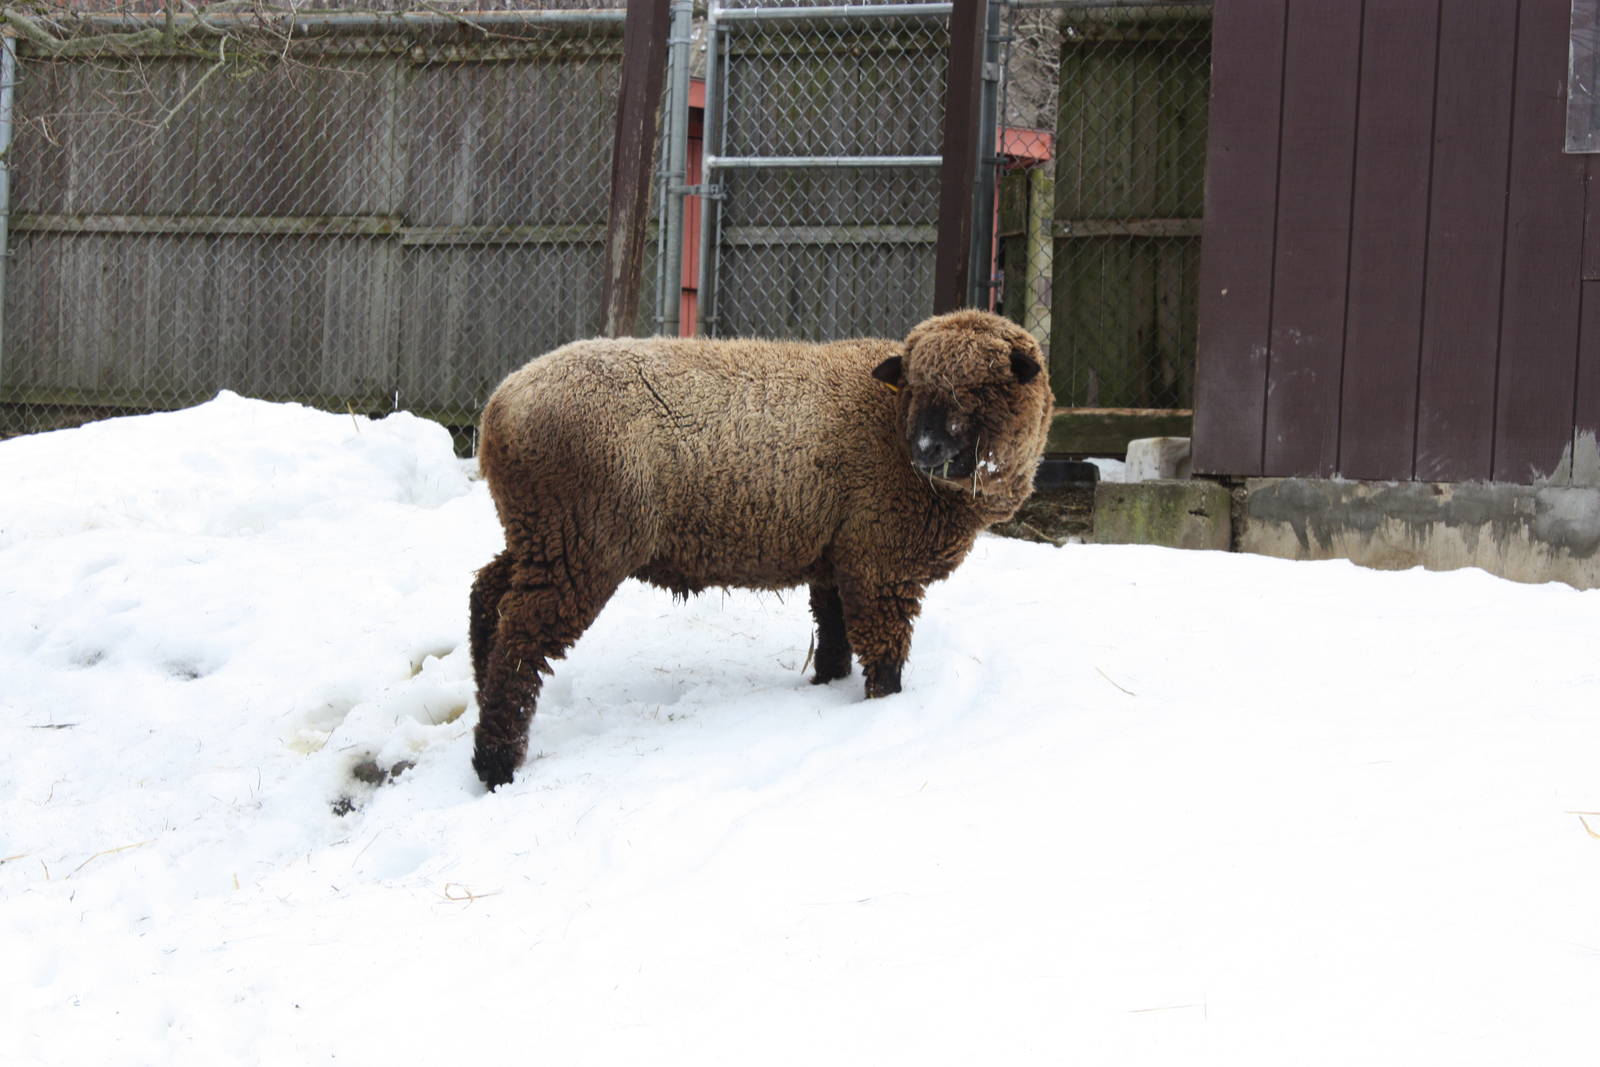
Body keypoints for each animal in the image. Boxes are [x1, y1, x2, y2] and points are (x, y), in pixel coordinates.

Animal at [468, 309, 1054, 788]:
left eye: (981, 388)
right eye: (913, 385)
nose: (926, 450)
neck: (891, 427)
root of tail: (500, 407)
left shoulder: (838, 556)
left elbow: (834, 632)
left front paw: (826, 687)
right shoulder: (879, 561)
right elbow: (884, 654)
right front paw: (883, 712)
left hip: (540, 531)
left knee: (488, 595)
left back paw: (479, 688)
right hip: (584, 537)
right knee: (522, 641)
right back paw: (496, 764)